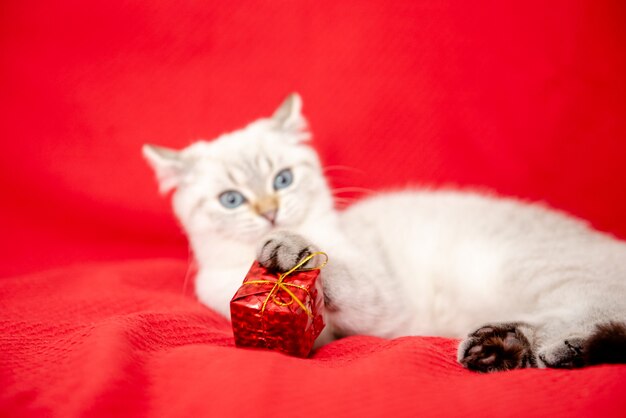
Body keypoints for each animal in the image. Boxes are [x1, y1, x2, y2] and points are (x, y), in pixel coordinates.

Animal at [143, 93, 624, 370]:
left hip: (528, 268)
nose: (271, 213)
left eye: (283, 180)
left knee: (602, 310)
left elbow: (336, 271)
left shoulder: (379, 298)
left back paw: (562, 348)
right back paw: (498, 349)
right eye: (231, 200)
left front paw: (294, 251)